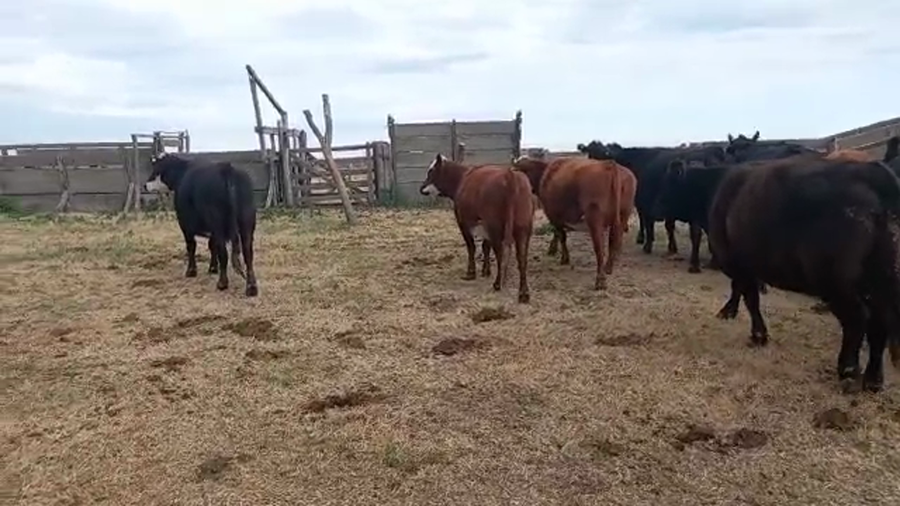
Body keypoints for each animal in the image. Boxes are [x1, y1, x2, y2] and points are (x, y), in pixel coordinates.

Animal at [144, 153, 259, 297]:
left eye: (156, 169)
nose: (145, 185)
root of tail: (226, 168)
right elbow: (212, 246)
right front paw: (213, 268)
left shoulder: (185, 225)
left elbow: (191, 246)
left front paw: (191, 271)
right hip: (246, 222)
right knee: (248, 253)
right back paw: (251, 287)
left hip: (218, 222)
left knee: (224, 253)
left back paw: (222, 283)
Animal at [419, 154, 534, 303]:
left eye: (431, 171)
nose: (421, 188)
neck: (462, 178)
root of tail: (510, 175)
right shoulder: (485, 227)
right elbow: (485, 246)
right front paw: (485, 270)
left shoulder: (463, 223)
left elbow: (471, 247)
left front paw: (471, 272)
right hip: (523, 228)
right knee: (522, 258)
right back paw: (523, 293)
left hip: (496, 227)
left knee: (501, 253)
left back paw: (497, 283)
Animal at [514, 156, 636, 290]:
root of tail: (609, 164)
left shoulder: (553, 214)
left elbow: (561, 235)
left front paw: (563, 257)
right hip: (623, 216)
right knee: (614, 241)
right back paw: (608, 267)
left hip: (595, 220)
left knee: (599, 249)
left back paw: (600, 280)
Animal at [577, 140, 728, 255]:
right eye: (589, 154)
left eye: (603, 156)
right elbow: (666, 225)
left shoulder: (645, 201)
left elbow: (649, 222)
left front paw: (647, 243)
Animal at [708, 155, 900, 393]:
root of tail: (873, 173)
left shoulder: (738, 263)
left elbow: (749, 296)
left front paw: (757, 334)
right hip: (878, 276)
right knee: (880, 322)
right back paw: (873, 379)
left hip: (836, 281)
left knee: (857, 319)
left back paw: (848, 371)